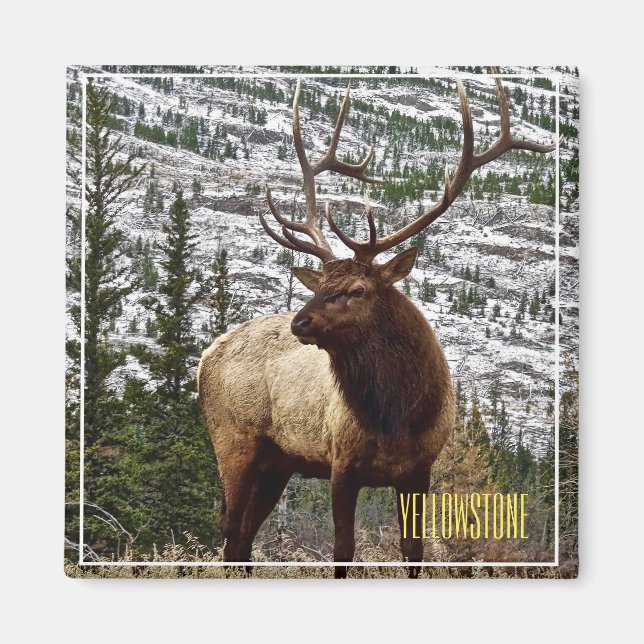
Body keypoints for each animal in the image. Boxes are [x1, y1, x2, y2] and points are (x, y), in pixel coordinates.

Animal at [197, 73, 557, 578]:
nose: (300, 321)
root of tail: (206, 355)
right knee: (230, 529)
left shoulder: (418, 471)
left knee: (244, 536)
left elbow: (413, 551)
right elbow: (342, 551)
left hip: (277, 461)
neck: (395, 417)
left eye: (357, 290)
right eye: (322, 283)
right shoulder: (341, 464)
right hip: (233, 439)